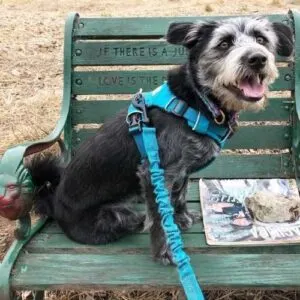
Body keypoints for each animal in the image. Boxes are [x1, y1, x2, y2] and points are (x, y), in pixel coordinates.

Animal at [28, 17, 292, 264]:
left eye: (261, 39)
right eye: (224, 43)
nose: (257, 59)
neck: (198, 102)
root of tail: (53, 203)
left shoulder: (181, 172)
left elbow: (179, 196)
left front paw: (183, 218)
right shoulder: (155, 173)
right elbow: (160, 218)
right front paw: (165, 251)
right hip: (116, 215)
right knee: (134, 219)